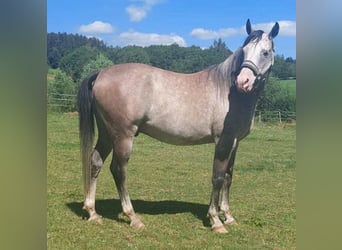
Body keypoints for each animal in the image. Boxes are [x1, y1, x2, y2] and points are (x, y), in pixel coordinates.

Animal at [78, 19, 280, 232]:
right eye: (244, 51)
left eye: (265, 52)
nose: (243, 81)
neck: (228, 92)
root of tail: (101, 73)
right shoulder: (223, 141)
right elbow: (217, 177)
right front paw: (216, 220)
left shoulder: (235, 142)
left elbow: (228, 177)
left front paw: (228, 216)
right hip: (123, 135)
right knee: (118, 170)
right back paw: (133, 217)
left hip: (107, 134)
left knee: (95, 162)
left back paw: (92, 212)